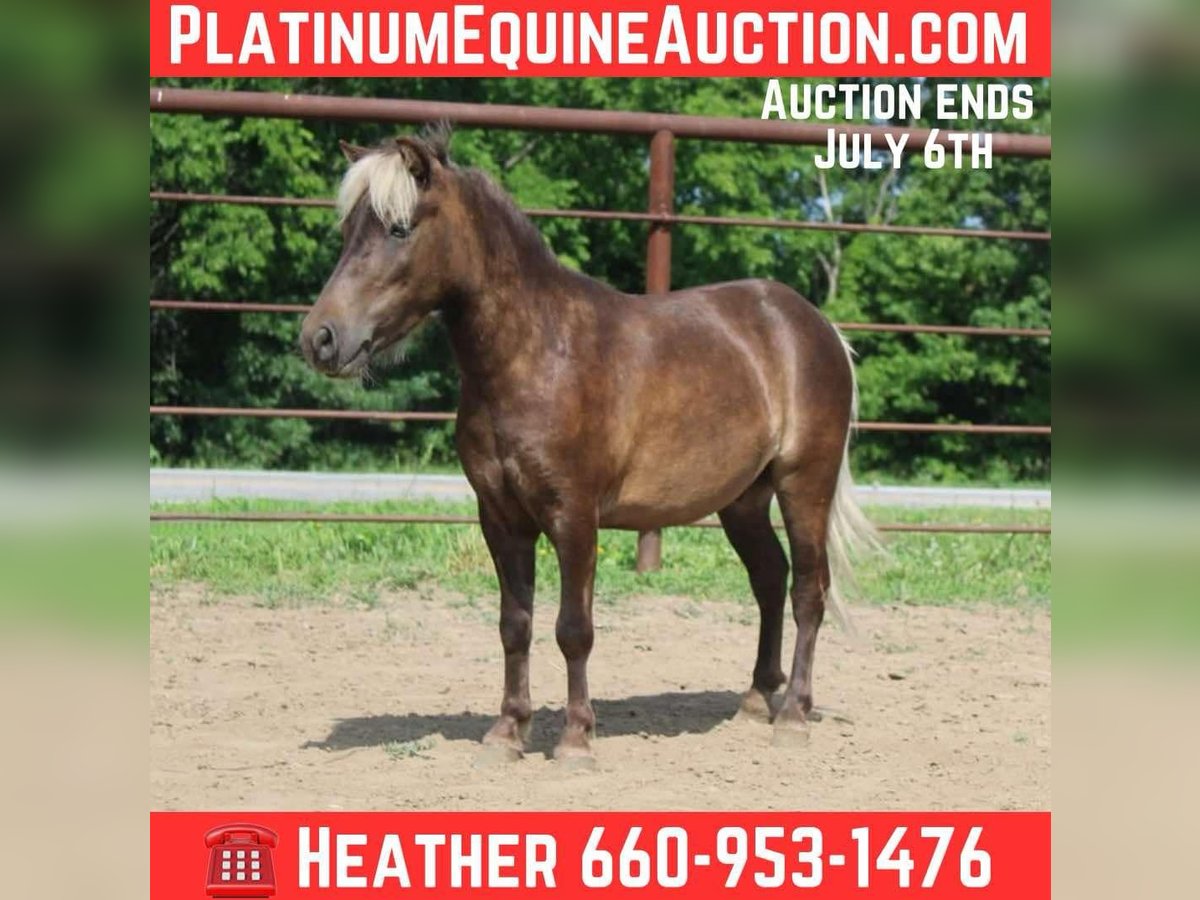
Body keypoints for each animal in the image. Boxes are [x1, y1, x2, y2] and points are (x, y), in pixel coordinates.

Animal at [300, 127, 879, 765]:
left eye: (399, 229)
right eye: (348, 231)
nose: (320, 339)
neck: (536, 354)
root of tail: (816, 326)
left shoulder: (574, 516)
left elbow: (573, 628)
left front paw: (576, 737)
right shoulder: (501, 518)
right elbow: (515, 624)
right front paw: (507, 732)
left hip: (805, 485)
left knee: (807, 591)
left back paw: (793, 715)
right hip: (743, 499)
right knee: (770, 580)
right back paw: (754, 702)